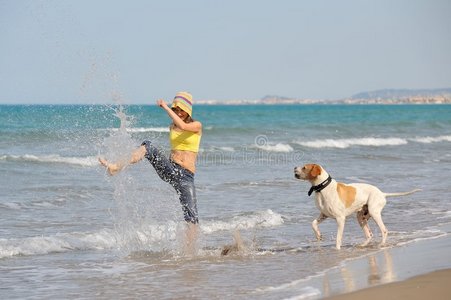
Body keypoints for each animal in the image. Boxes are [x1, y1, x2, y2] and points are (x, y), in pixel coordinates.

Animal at [294, 163, 422, 250]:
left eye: (304, 167)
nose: (294, 168)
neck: (322, 188)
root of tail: (382, 193)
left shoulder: (340, 219)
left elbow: (338, 238)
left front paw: (337, 250)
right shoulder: (324, 214)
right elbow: (313, 223)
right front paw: (318, 235)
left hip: (374, 212)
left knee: (384, 230)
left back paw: (381, 244)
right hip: (361, 217)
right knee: (369, 234)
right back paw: (362, 245)